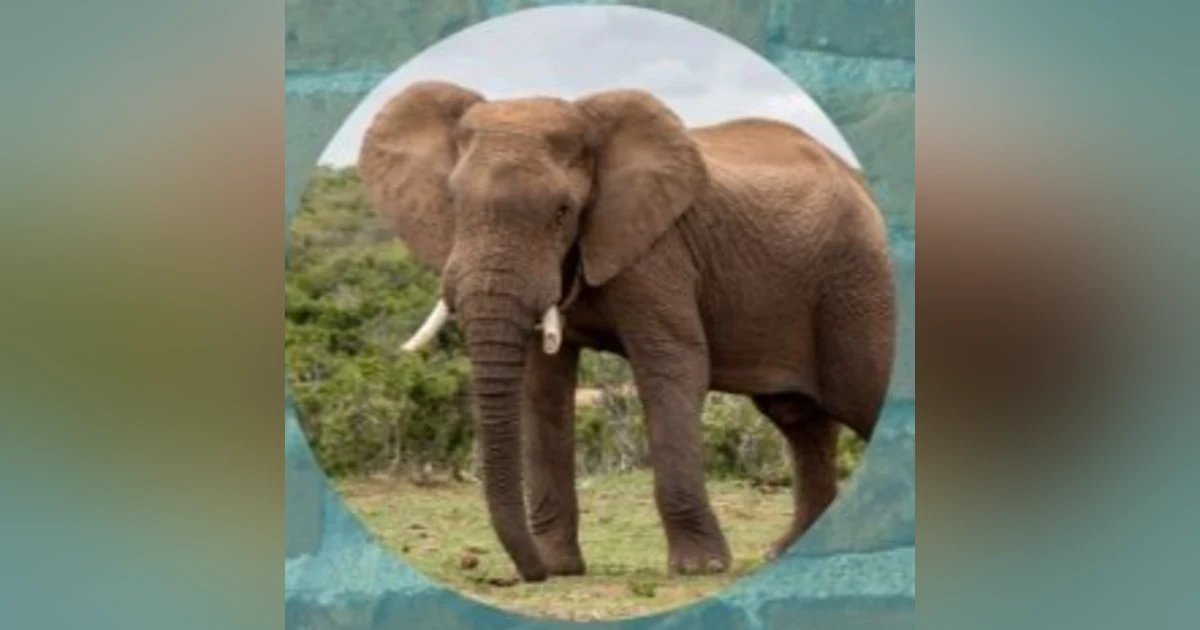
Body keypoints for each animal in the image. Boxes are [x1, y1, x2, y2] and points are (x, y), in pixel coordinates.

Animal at [358, 80, 896, 582]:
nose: (526, 574)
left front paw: (699, 568)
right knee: (801, 422)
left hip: (857, 288)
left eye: (562, 211)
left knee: (863, 397)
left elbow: (671, 365)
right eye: (453, 201)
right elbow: (541, 386)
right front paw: (559, 567)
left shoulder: (657, 249)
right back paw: (789, 553)